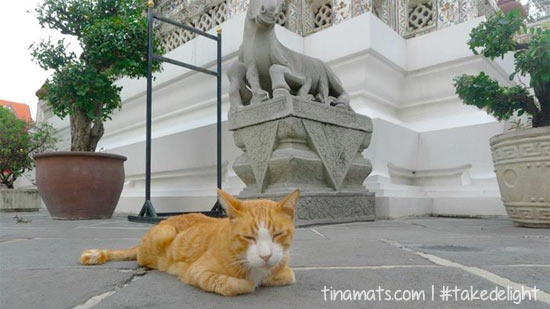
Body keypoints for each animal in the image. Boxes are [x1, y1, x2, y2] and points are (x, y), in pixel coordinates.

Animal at [80, 186, 300, 294]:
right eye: (248, 237)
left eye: (278, 235)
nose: (266, 256)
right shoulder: (197, 271)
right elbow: (241, 285)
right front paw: (250, 282)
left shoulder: (285, 268)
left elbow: (287, 275)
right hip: (163, 235)